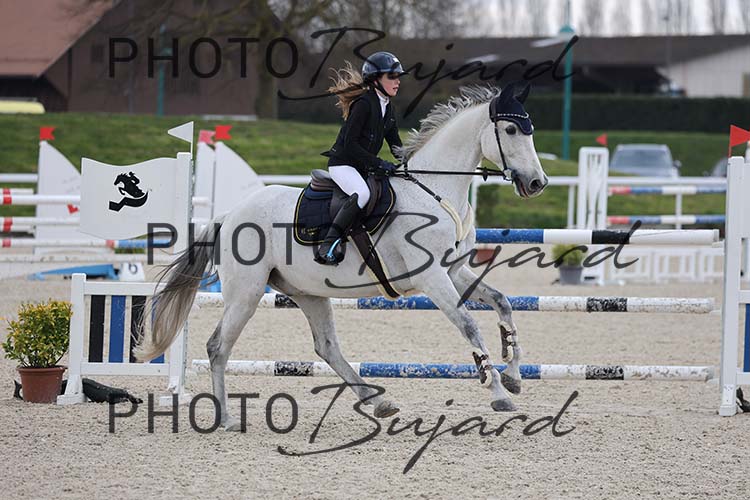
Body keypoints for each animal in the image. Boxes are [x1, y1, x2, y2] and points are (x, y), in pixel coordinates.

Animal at [134, 82, 548, 430]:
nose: (537, 183)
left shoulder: (456, 272)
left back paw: (377, 401)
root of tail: (229, 215)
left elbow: (502, 302)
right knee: (218, 347)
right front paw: (497, 392)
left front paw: (513, 376)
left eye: (530, 130)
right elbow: (469, 325)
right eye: (511, 131)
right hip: (246, 293)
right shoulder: (432, 277)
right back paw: (225, 418)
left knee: (327, 347)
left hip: (308, 293)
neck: (434, 191)